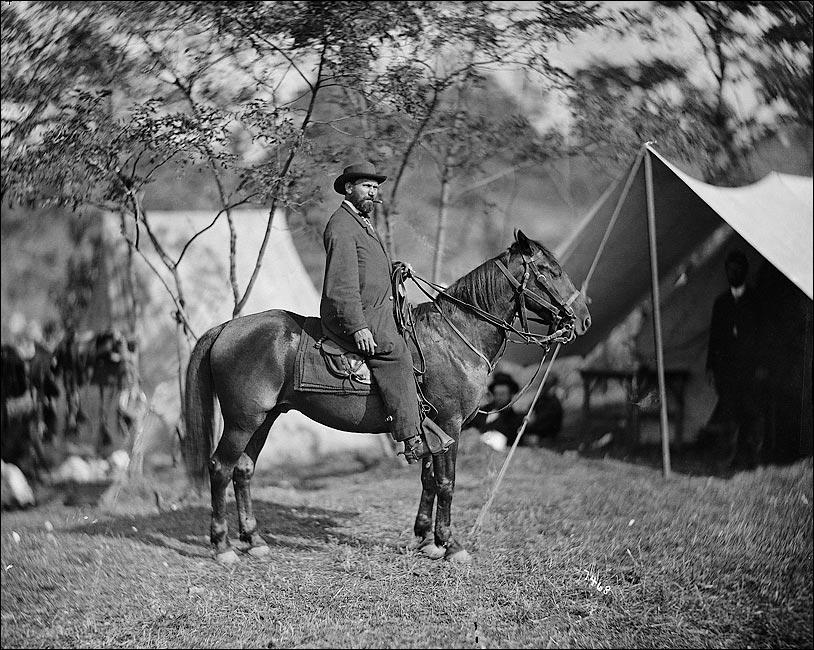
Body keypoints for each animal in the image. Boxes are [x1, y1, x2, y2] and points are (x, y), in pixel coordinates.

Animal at [182, 230, 591, 564]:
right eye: (549, 270)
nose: (583, 318)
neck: (455, 335)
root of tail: (227, 327)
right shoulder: (449, 424)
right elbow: (447, 483)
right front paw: (451, 544)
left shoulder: (431, 428)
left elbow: (429, 479)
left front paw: (426, 539)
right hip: (242, 420)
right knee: (220, 468)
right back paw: (223, 546)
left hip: (264, 419)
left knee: (243, 470)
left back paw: (253, 540)